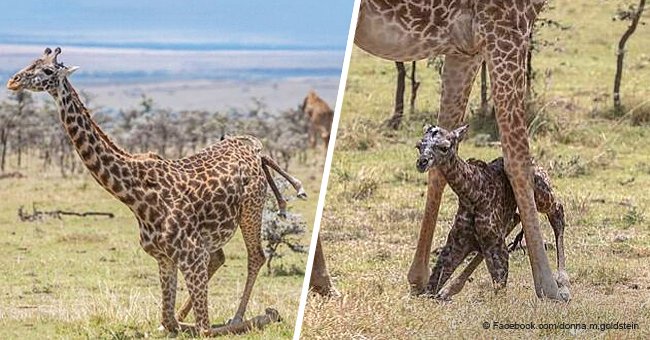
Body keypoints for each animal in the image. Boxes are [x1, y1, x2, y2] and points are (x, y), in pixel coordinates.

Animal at [416, 125, 568, 300]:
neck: (473, 194)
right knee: (516, 218)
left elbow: (500, 293)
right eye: (419, 146)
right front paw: (441, 291)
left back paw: (562, 282)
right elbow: (431, 287)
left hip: (540, 194)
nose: (422, 163)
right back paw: (449, 290)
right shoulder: (457, 242)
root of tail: (536, 163)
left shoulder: (495, 245)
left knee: (557, 210)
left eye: (444, 147)